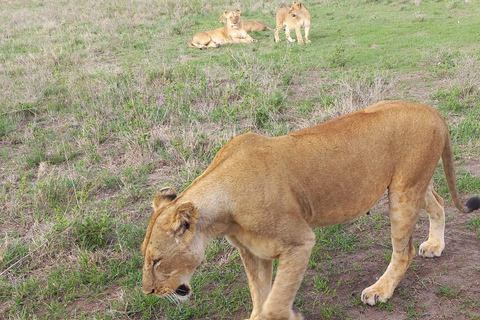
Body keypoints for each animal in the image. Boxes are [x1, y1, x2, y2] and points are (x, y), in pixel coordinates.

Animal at [142, 100, 480, 320]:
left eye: (157, 260)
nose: (147, 292)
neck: (221, 213)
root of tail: (431, 110)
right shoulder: (252, 252)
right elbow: (259, 295)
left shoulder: (299, 242)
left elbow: (275, 303)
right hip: (409, 185)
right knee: (437, 201)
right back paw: (435, 245)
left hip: (403, 192)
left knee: (404, 250)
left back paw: (380, 290)